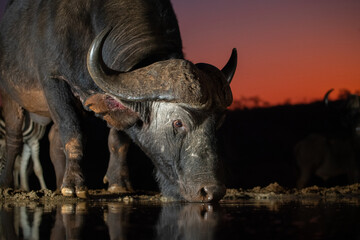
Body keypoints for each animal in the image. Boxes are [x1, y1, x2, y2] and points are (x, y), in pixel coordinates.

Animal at [0, 0, 236, 202]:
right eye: (178, 122)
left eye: (217, 123)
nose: (212, 191)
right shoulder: (53, 81)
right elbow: (73, 132)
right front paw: (74, 186)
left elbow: (118, 140)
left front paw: (118, 183)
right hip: (10, 98)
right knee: (14, 139)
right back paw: (8, 184)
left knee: (54, 139)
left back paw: (59, 184)